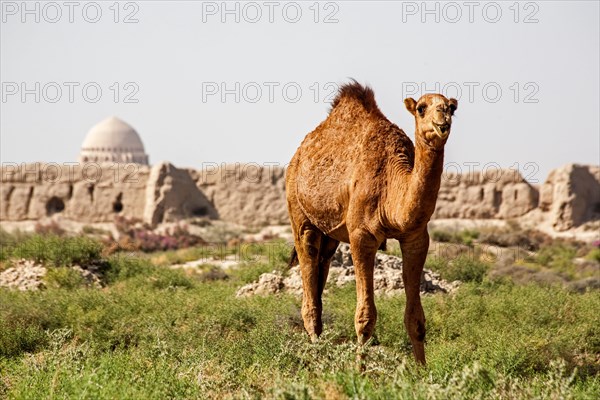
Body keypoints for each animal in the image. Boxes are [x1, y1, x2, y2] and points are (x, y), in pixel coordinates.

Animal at [288, 79, 460, 364]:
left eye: (451, 108)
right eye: (422, 108)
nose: (442, 119)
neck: (391, 184)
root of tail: (298, 155)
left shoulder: (415, 237)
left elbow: (416, 319)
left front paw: (422, 371)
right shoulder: (362, 236)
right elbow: (365, 316)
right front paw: (360, 370)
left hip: (330, 235)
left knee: (321, 270)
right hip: (299, 213)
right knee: (309, 275)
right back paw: (317, 356)